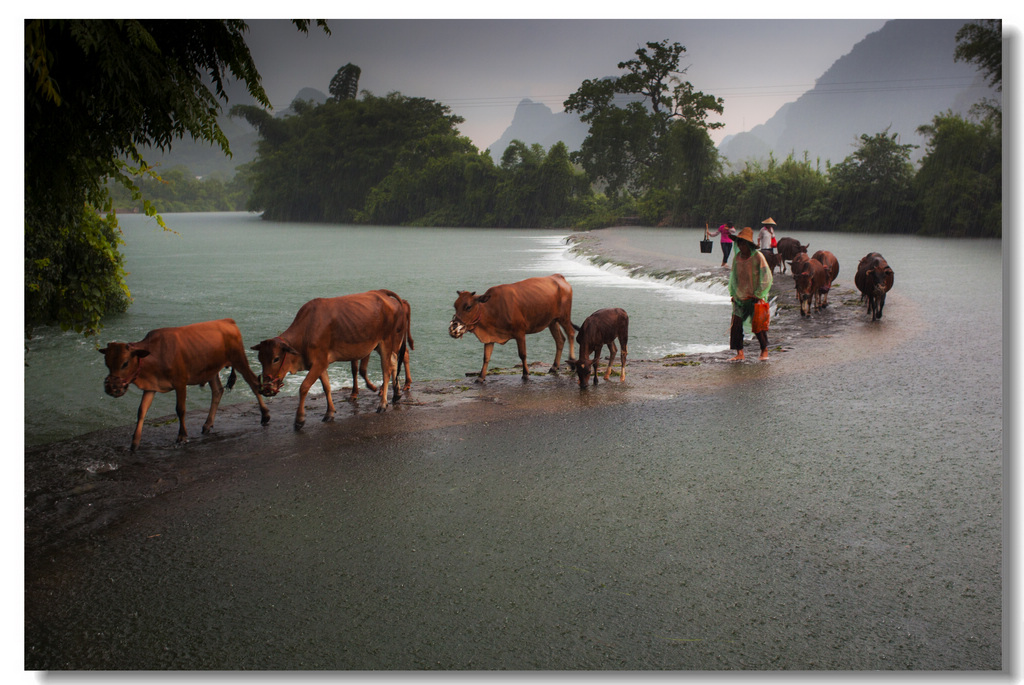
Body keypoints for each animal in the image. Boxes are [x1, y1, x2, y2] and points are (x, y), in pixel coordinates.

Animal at [96, 317, 268, 450]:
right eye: (106, 363)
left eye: (125, 363)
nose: (111, 387)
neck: (156, 355)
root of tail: (228, 321)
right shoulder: (151, 387)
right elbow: (141, 411)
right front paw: (134, 442)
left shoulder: (180, 382)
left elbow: (180, 409)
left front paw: (182, 436)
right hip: (211, 369)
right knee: (218, 391)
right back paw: (207, 424)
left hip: (239, 359)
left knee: (253, 383)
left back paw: (265, 415)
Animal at [249, 286, 405, 423]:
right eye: (260, 359)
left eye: (276, 359)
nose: (265, 389)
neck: (306, 330)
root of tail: (383, 294)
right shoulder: (320, 363)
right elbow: (326, 387)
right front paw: (329, 412)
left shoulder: (319, 362)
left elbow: (304, 387)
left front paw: (300, 418)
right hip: (381, 345)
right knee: (394, 361)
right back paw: (396, 393)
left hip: (386, 342)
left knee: (386, 370)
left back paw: (382, 404)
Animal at [448, 270, 577, 378]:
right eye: (455, 305)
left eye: (468, 307)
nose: (453, 327)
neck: (492, 309)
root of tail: (558, 276)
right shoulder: (490, 336)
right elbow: (486, 357)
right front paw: (480, 377)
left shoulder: (520, 332)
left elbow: (522, 354)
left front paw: (525, 373)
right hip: (552, 321)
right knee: (560, 340)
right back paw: (554, 367)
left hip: (564, 317)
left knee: (570, 333)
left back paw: (572, 362)